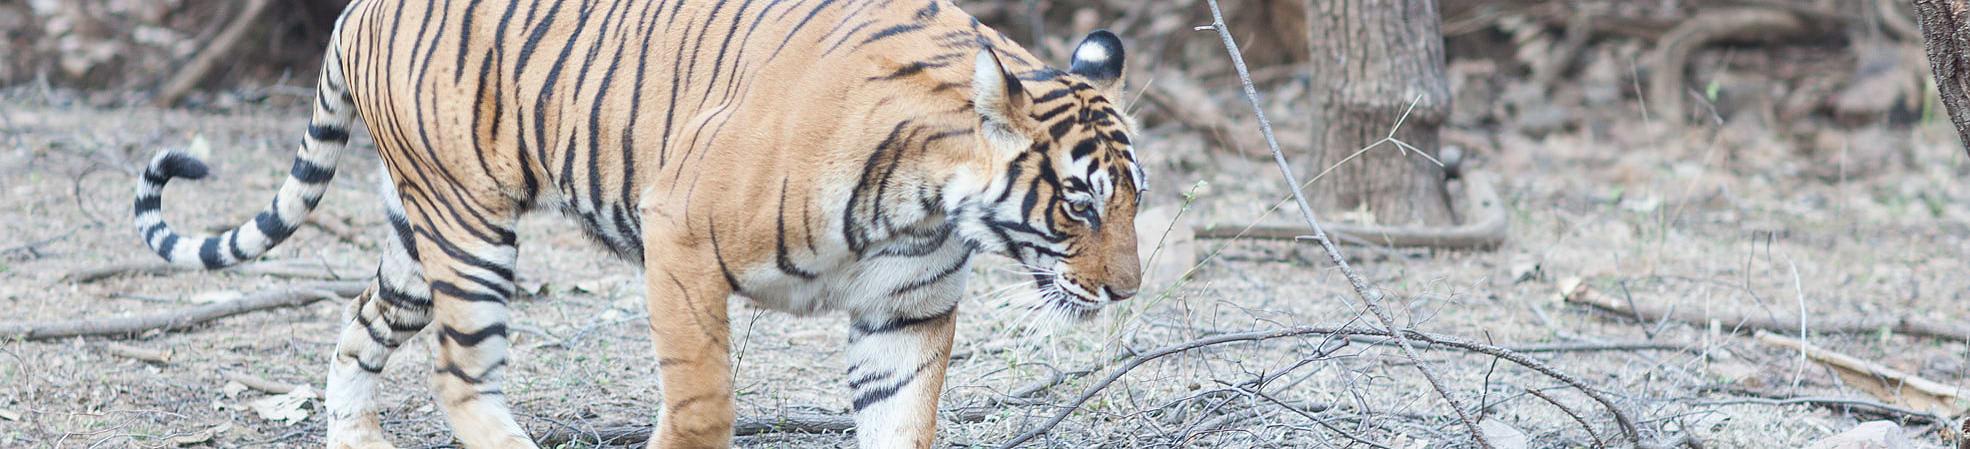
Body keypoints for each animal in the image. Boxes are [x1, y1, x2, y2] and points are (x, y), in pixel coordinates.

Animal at [130, 0, 1144, 447]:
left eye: (1133, 197)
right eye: (1081, 200)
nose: (1127, 289)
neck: (929, 203)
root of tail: (357, 9)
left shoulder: (906, 313)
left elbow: (903, 424)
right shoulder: (681, 239)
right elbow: (700, 402)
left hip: (415, 238)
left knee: (359, 326)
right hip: (470, 229)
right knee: (462, 375)